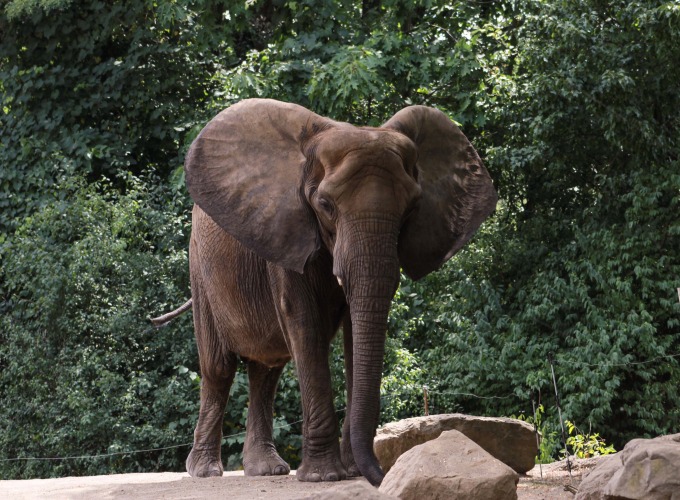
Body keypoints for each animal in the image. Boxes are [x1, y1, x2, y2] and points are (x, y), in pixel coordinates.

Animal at [153, 97, 494, 484]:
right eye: (325, 206)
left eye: (411, 209)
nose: (380, 476)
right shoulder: (288, 229)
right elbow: (304, 323)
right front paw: (323, 476)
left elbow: (352, 334)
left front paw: (349, 472)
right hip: (199, 267)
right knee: (219, 367)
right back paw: (206, 472)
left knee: (266, 371)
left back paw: (266, 470)